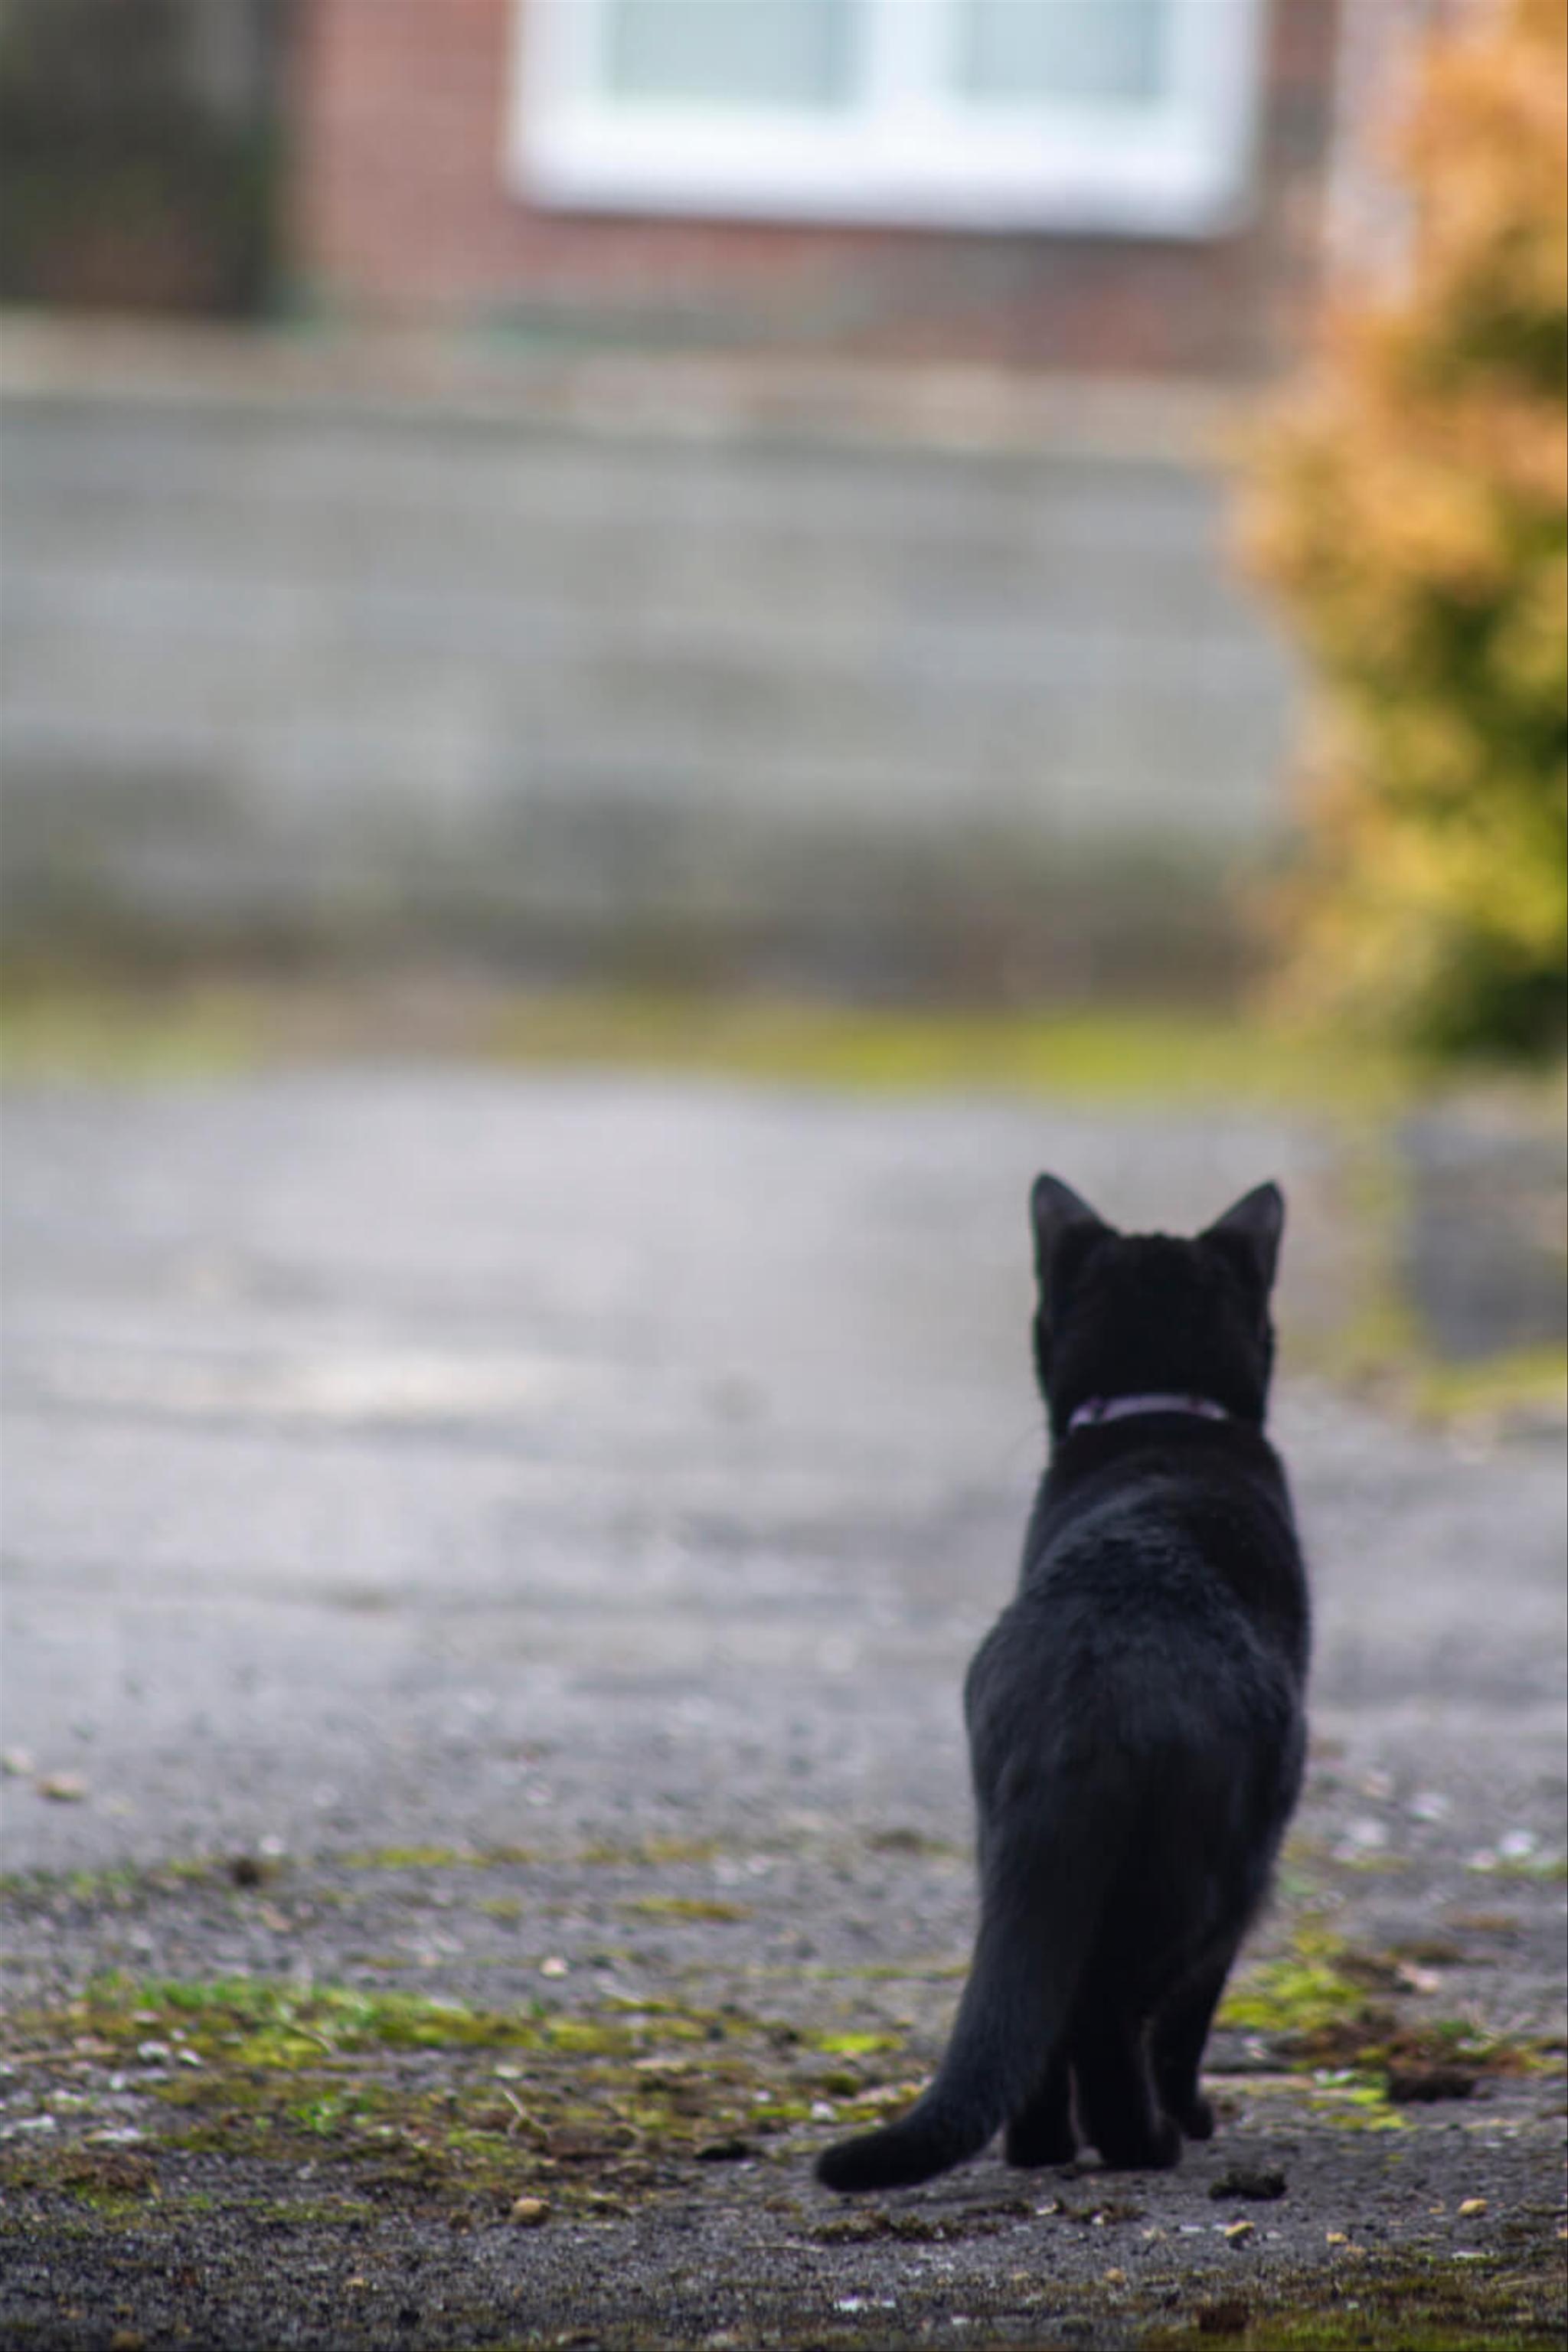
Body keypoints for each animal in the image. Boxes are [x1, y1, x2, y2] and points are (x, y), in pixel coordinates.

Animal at [818, 1185, 1307, 2192]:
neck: (1160, 1416)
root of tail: (1086, 1694)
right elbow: (1188, 2025)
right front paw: (1193, 2116)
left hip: (1012, 1849)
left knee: (1038, 2006)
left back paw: (1038, 2146)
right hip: (1209, 1878)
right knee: (1114, 2010)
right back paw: (1145, 2141)